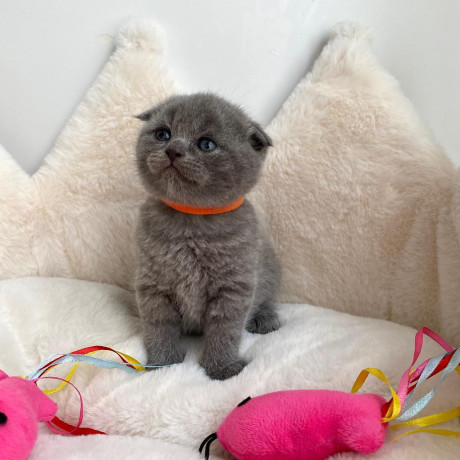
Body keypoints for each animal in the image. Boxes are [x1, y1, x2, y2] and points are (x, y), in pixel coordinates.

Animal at [131, 91, 278, 380]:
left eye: (206, 144)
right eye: (163, 134)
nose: (173, 149)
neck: (191, 222)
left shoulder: (234, 286)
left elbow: (225, 330)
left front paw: (222, 369)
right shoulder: (152, 285)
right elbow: (158, 326)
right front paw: (162, 364)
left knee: (268, 298)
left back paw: (265, 319)